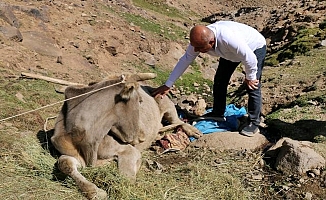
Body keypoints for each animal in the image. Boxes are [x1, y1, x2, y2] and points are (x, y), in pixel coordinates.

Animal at [51, 72, 202, 199]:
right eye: (140, 101)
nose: (142, 137)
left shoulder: (128, 150)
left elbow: (126, 179)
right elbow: (64, 162)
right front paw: (95, 191)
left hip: (168, 106)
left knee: (178, 121)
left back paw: (193, 131)